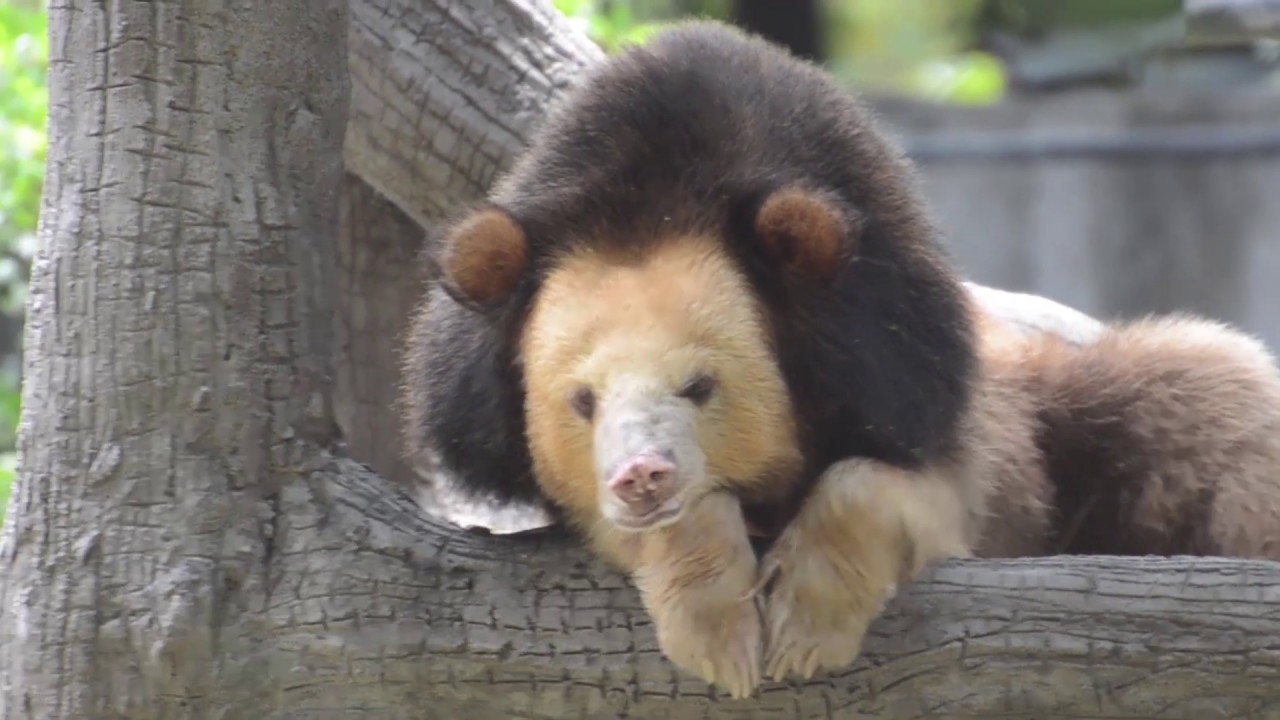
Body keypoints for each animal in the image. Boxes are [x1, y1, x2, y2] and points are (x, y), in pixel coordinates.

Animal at [398, 19, 1280, 699]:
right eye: (581, 401)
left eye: (701, 386)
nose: (642, 477)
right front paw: (718, 631)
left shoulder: (918, 373)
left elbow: (925, 490)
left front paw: (800, 630)